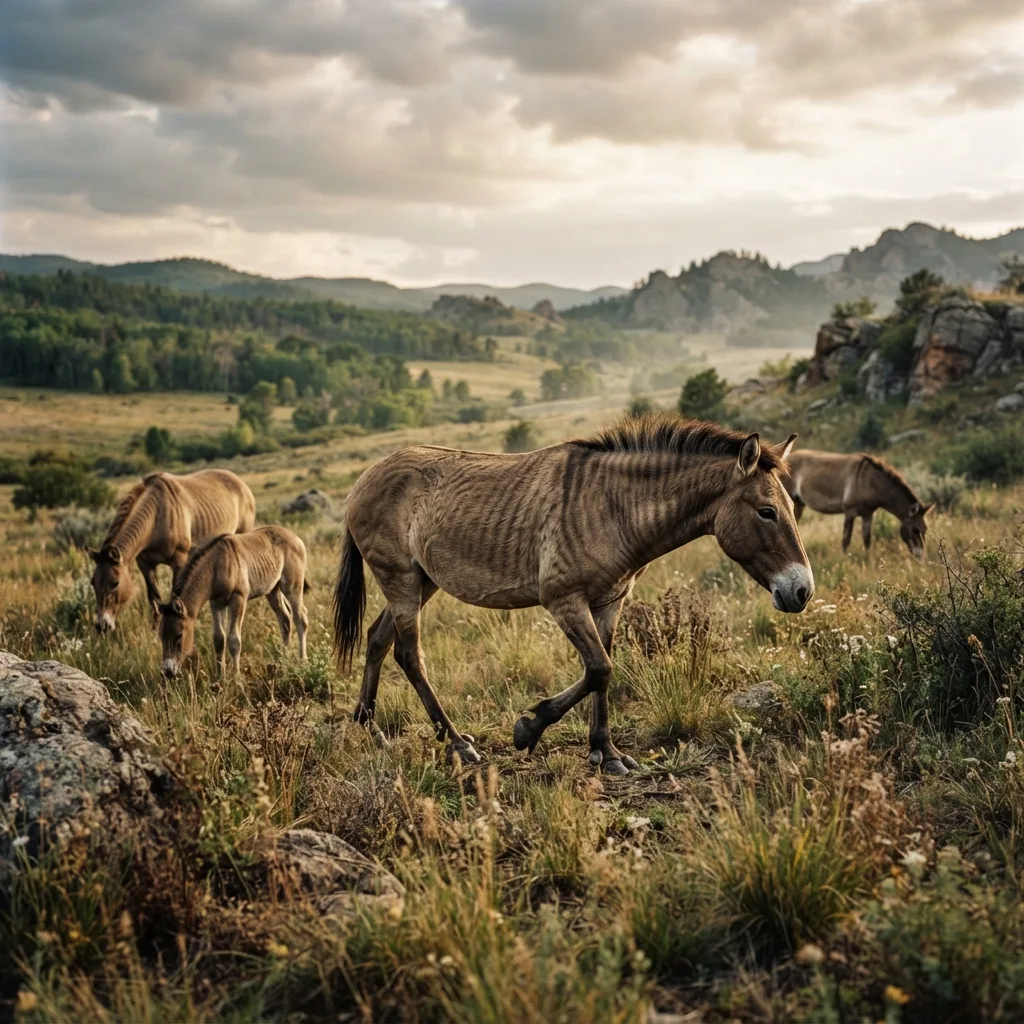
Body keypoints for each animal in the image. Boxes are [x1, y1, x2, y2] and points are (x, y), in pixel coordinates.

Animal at [89, 469, 256, 634]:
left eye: (115, 583)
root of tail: (241, 484)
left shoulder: (179, 561)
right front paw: (155, 631)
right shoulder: (145, 563)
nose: (102, 626)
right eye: (92, 583)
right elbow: (154, 597)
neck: (157, 515)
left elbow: (175, 595)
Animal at [158, 526, 309, 679]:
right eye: (161, 636)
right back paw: (284, 659)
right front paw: (219, 677)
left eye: (179, 635)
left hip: (292, 587)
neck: (217, 565)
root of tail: (296, 538)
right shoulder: (216, 603)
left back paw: (302, 661)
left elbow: (234, 640)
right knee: (285, 619)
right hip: (272, 590)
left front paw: (236, 677)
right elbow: (219, 639)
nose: (168, 672)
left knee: (300, 618)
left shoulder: (238, 599)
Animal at [333, 414, 813, 775]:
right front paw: (529, 728)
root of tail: (363, 479)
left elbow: (602, 672)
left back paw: (369, 727)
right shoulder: (564, 600)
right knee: (408, 655)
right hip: (401, 580)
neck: (612, 506)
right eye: (766, 512)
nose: (802, 591)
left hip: (420, 581)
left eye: (792, 508)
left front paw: (606, 752)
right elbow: (599, 668)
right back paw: (456, 744)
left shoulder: (608, 602)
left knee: (377, 639)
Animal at [780, 449, 931, 559]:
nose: (920, 556)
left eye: (925, 529)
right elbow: (846, 540)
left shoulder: (868, 515)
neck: (869, 481)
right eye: (915, 530)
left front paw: (868, 559)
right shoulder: (850, 512)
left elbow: (867, 540)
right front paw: (844, 560)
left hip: (799, 504)